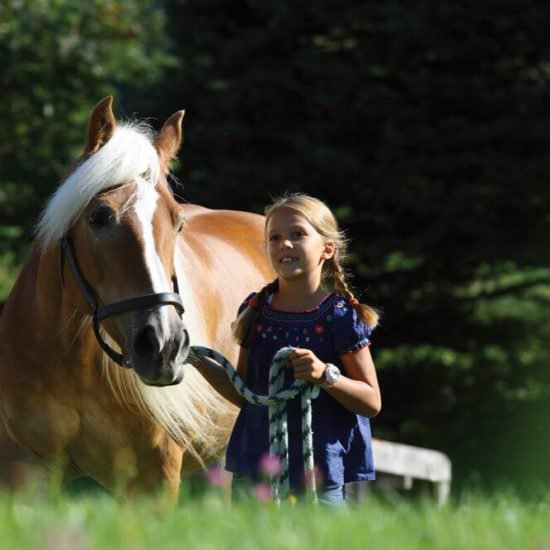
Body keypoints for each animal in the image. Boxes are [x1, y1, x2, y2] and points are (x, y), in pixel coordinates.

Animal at [0, 96, 274, 500]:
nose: (164, 345)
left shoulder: (152, 478)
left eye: (177, 222)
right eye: (98, 216)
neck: (73, 364)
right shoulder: (23, 473)